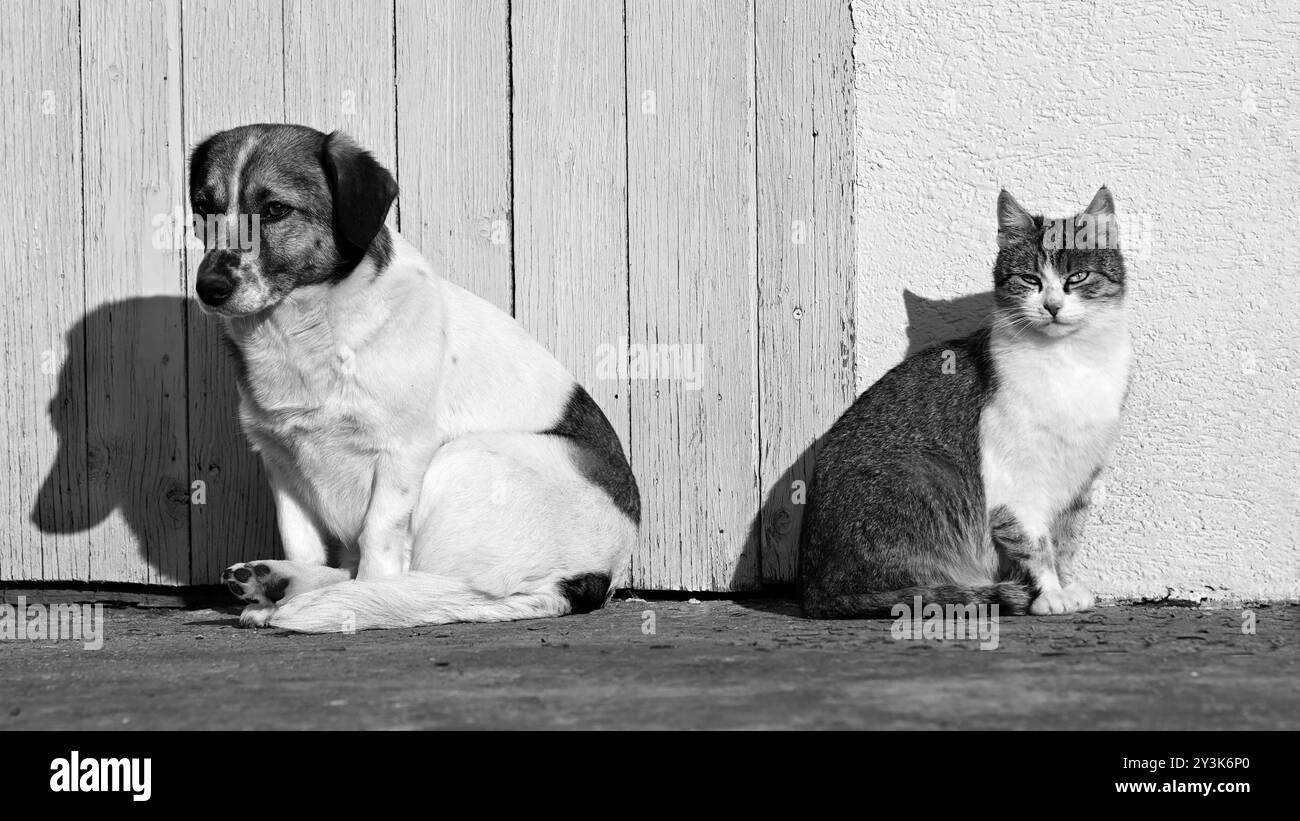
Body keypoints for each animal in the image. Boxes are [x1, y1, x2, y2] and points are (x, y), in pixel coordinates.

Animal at [189, 125, 639, 631]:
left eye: (275, 210)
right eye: (204, 207)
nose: (208, 288)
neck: (304, 330)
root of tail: (587, 580)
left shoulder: (401, 454)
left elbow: (378, 543)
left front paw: (356, 600)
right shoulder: (281, 460)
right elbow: (301, 540)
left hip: (460, 458)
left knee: (429, 583)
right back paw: (275, 582)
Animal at [795, 187, 1133, 615]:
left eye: (1078, 277)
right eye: (1030, 279)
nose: (1052, 306)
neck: (1068, 362)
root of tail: (813, 590)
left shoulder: (1080, 477)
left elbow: (1066, 539)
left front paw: (1067, 584)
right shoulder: (1012, 478)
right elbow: (1036, 543)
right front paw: (1051, 593)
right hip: (925, 472)